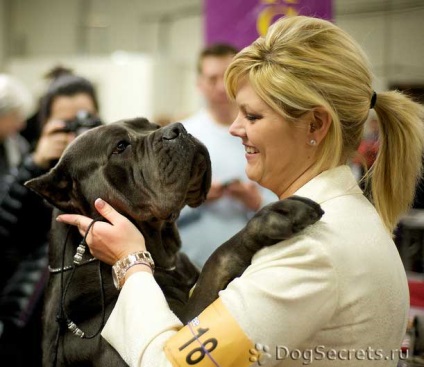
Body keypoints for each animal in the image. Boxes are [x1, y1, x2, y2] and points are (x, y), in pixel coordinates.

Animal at [25, 119, 324, 366]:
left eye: (151, 124)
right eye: (120, 146)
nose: (177, 128)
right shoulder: (181, 328)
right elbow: (217, 259)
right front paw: (275, 215)